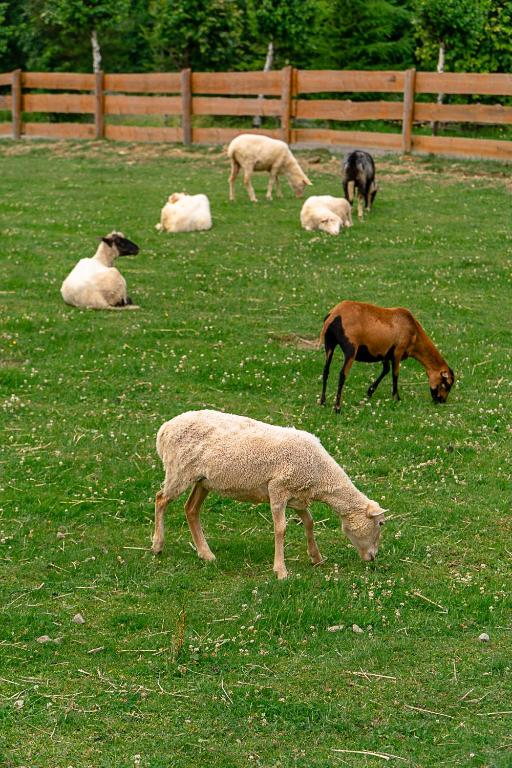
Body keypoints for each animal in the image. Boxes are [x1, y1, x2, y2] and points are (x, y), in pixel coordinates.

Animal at [152, 409, 386, 579]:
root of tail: (164, 428)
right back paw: (157, 545)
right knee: (160, 499)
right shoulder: (278, 489)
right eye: (381, 524)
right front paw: (280, 570)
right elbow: (281, 529)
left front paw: (316, 557)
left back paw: (206, 554)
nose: (373, 557)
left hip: (203, 481)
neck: (320, 474)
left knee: (191, 509)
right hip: (178, 471)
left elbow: (309, 522)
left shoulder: (296, 496)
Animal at [319, 300, 455, 412]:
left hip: (329, 343)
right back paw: (337, 408)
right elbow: (395, 374)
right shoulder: (398, 351)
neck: (415, 332)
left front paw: (369, 392)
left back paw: (322, 402)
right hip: (350, 348)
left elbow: (386, 370)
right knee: (342, 374)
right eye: (446, 384)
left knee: (326, 371)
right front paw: (396, 398)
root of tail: (334, 315)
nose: (441, 401)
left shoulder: (385, 353)